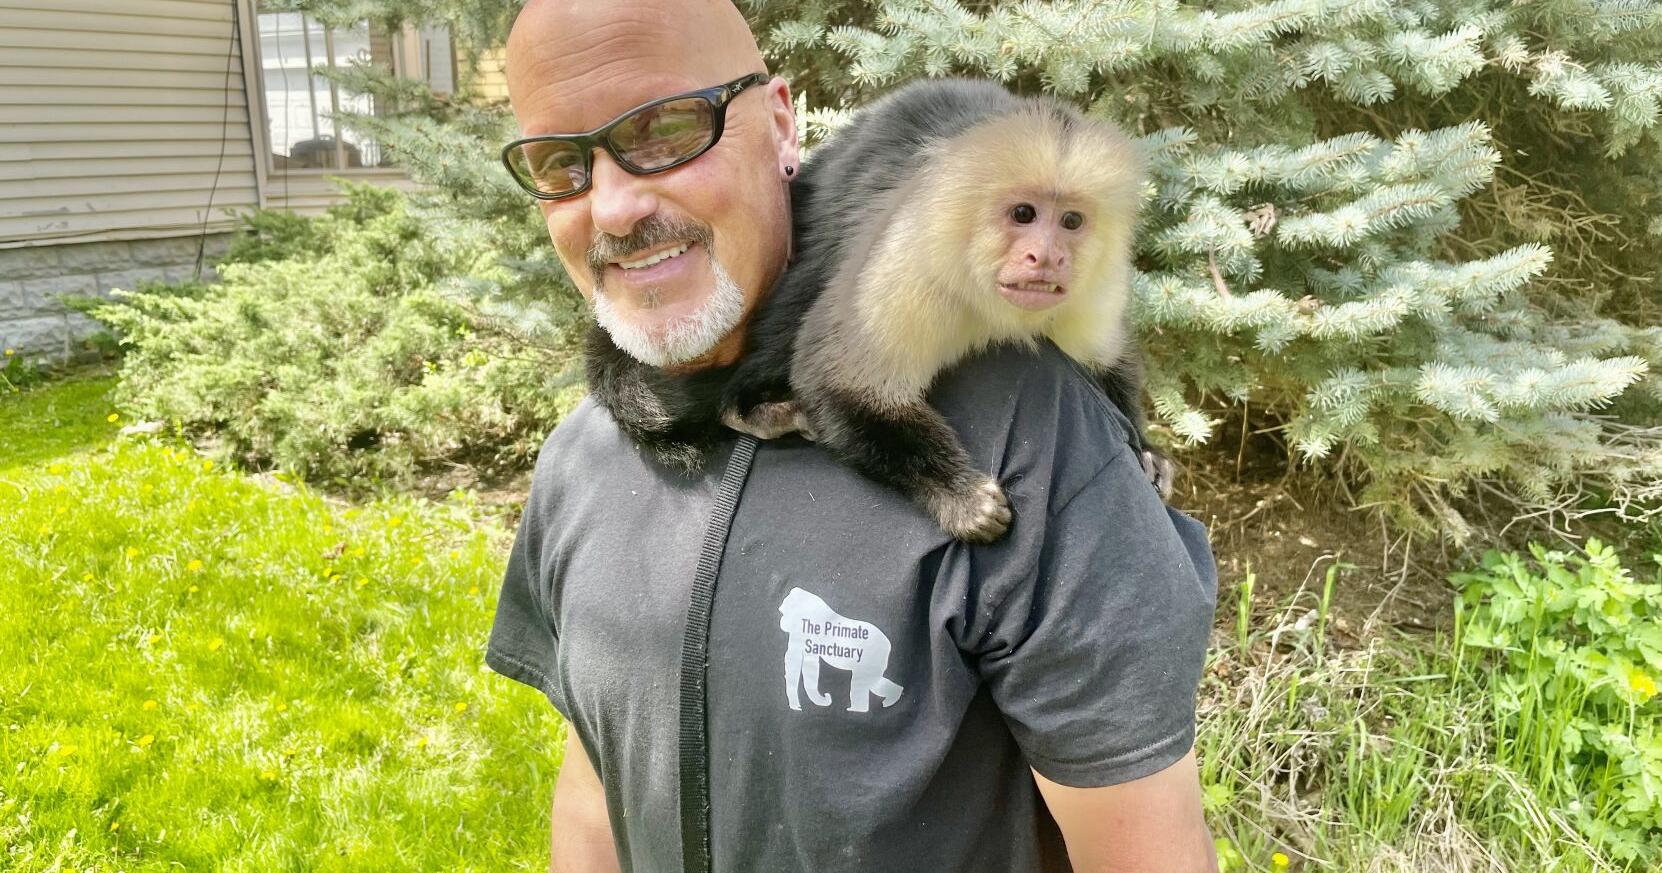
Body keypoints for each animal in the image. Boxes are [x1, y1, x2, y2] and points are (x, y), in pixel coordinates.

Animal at [715, 78, 1169, 543]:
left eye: (1072, 221)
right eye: (1024, 213)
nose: (1047, 257)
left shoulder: (1095, 287)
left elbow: (1107, 361)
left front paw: (1149, 452)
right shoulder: (916, 255)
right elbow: (835, 381)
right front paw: (960, 495)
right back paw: (749, 410)